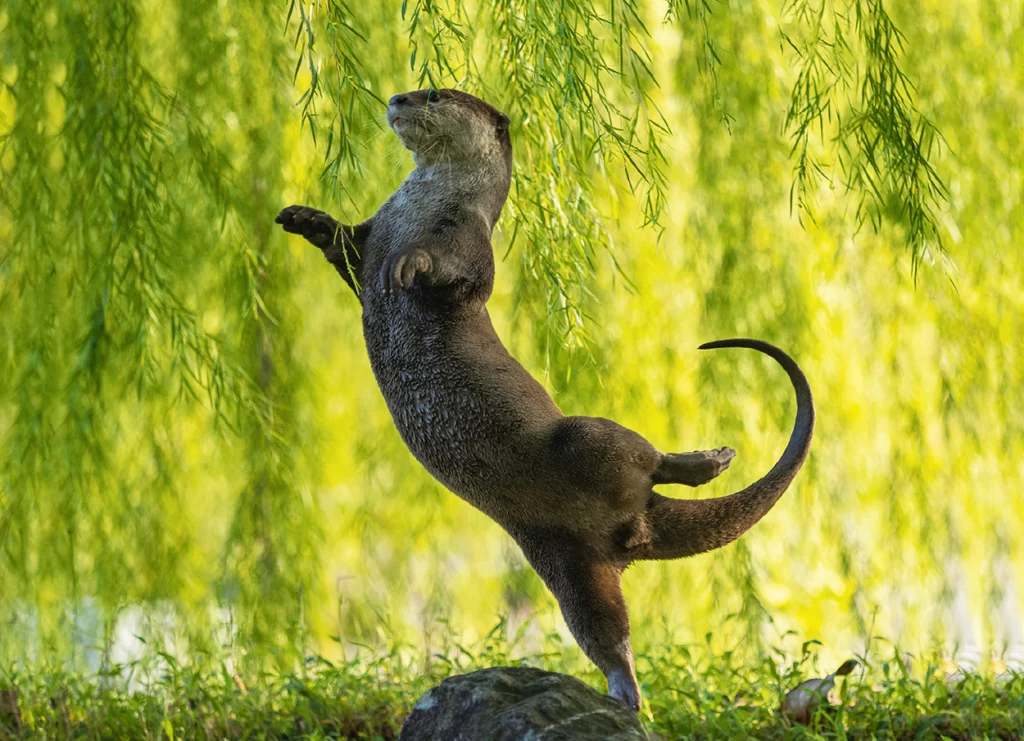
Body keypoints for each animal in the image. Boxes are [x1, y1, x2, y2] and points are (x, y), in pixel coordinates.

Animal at [276, 88, 814, 712]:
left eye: (435, 93)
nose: (397, 98)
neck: (419, 208)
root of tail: (637, 522)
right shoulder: (373, 233)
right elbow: (344, 247)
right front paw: (305, 219)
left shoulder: (468, 243)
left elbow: (450, 272)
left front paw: (410, 262)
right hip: (564, 561)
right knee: (605, 630)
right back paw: (624, 695)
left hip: (584, 439)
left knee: (645, 457)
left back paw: (709, 461)